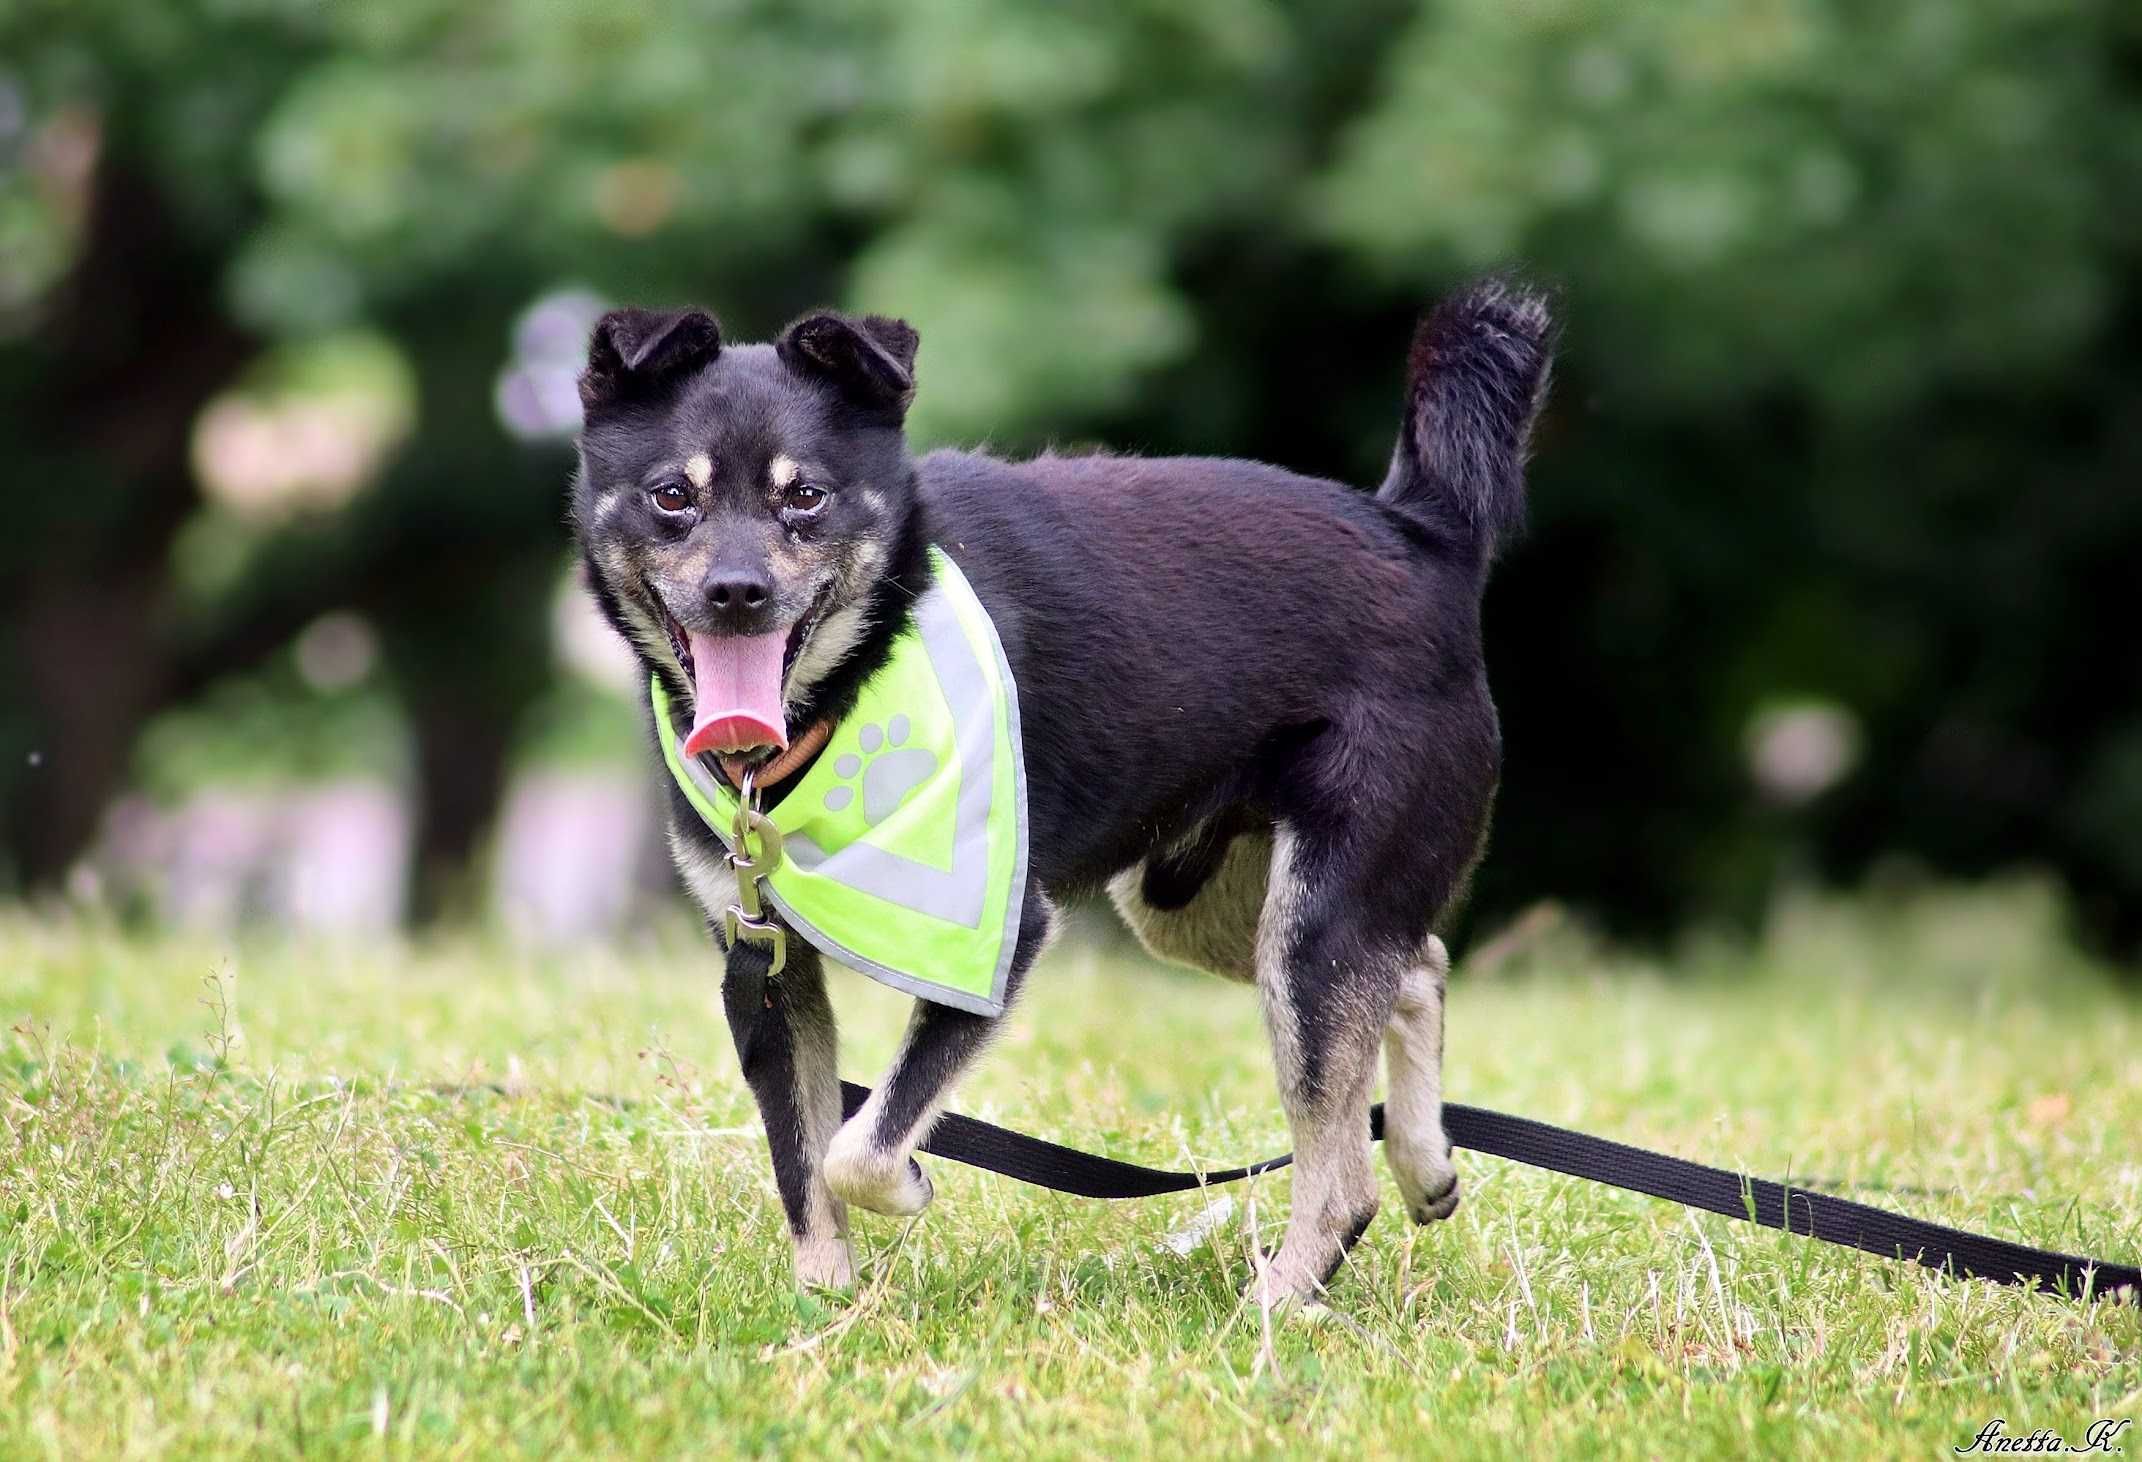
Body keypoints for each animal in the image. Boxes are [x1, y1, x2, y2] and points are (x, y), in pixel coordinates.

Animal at [569, 278, 1559, 1301]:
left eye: (805, 496)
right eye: (673, 496)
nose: (737, 592)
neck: (835, 711)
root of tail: (1422, 531)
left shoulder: (997, 937)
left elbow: (858, 1148)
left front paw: (907, 1185)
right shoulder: (764, 965)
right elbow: (803, 1164)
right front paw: (826, 1302)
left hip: (1312, 926)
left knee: (1341, 1174)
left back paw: (1279, 1304)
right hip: (1201, 908)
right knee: (1418, 963)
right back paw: (1425, 1162)